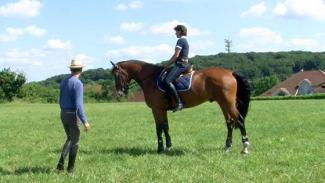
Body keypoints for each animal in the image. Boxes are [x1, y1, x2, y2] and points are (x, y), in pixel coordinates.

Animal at [110, 60, 249, 154]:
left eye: (117, 75)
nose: (119, 93)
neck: (151, 78)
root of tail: (230, 72)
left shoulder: (156, 109)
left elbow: (159, 128)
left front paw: (160, 149)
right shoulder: (162, 110)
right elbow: (165, 127)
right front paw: (168, 146)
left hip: (227, 103)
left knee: (239, 120)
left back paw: (245, 148)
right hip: (223, 103)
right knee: (230, 122)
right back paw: (227, 146)